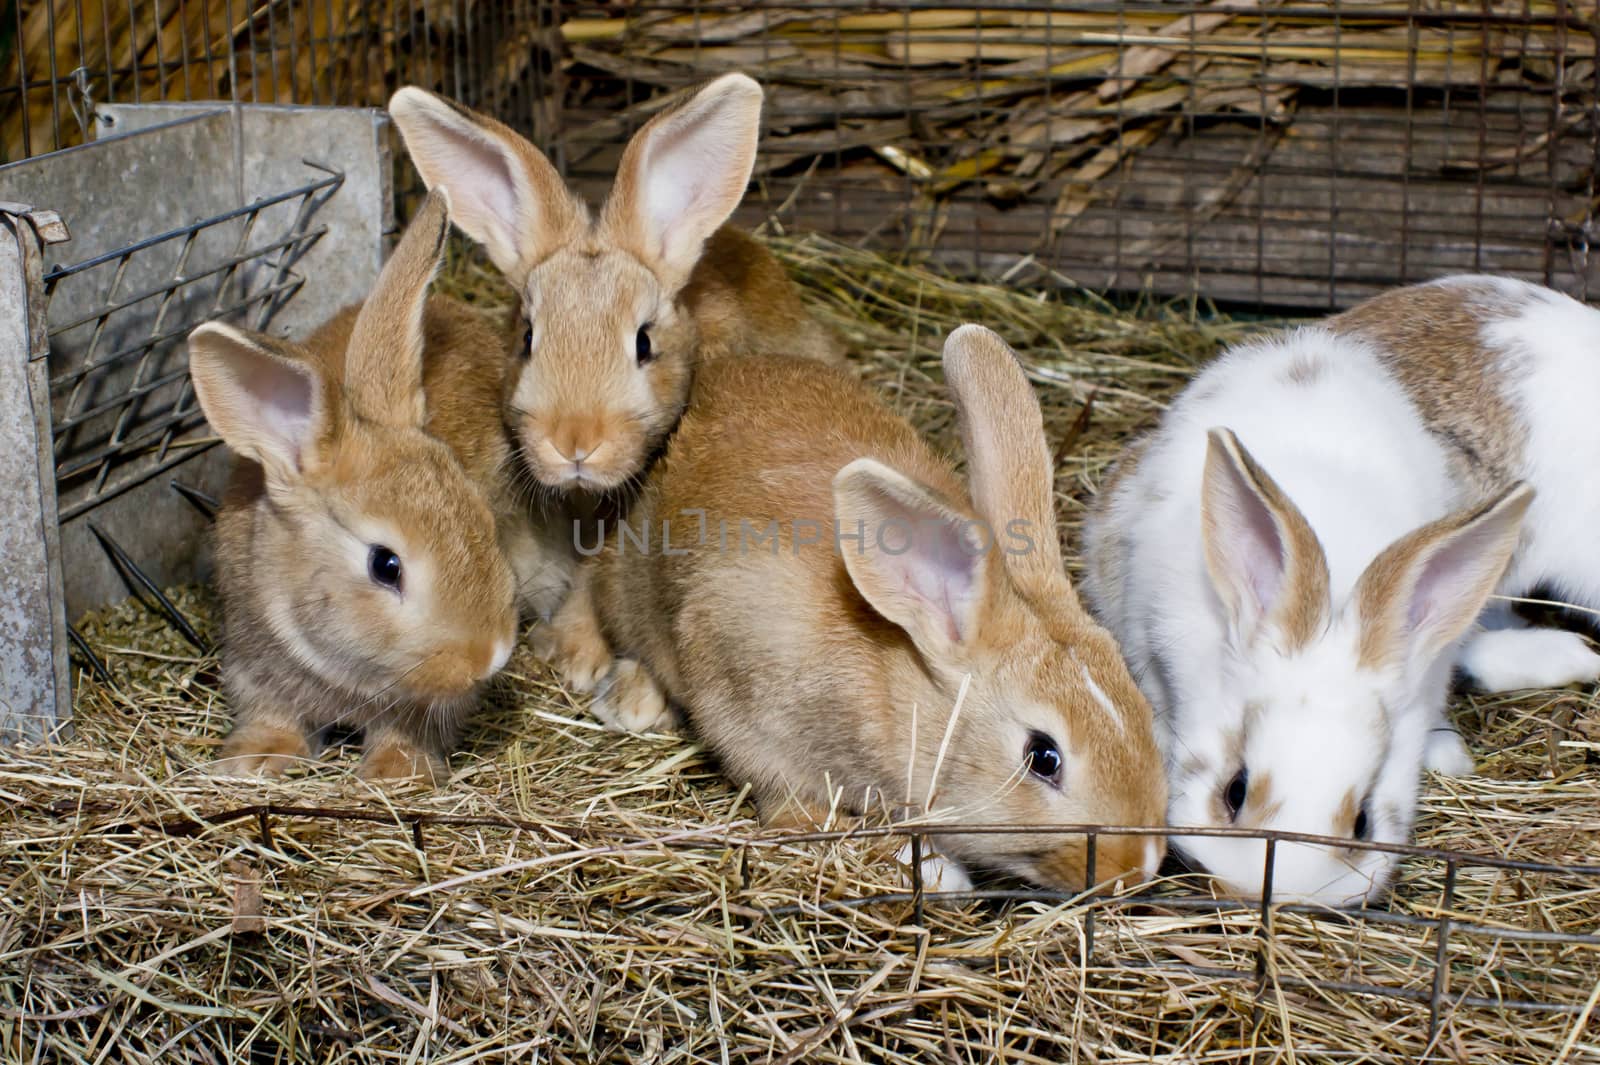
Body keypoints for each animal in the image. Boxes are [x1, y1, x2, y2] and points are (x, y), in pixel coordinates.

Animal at [188, 188, 556, 780]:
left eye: (483, 520)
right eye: (386, 566)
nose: (490, 655)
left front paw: (396, 771)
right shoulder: (253, 661)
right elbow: (271, 713)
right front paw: (257, 758)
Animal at [544, 323, 1171, 889]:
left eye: (1142, 709)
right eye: (1043, 757)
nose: (1137, 868)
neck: (897, 669)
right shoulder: (746, 700)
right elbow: (787, 802)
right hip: (629, 578)